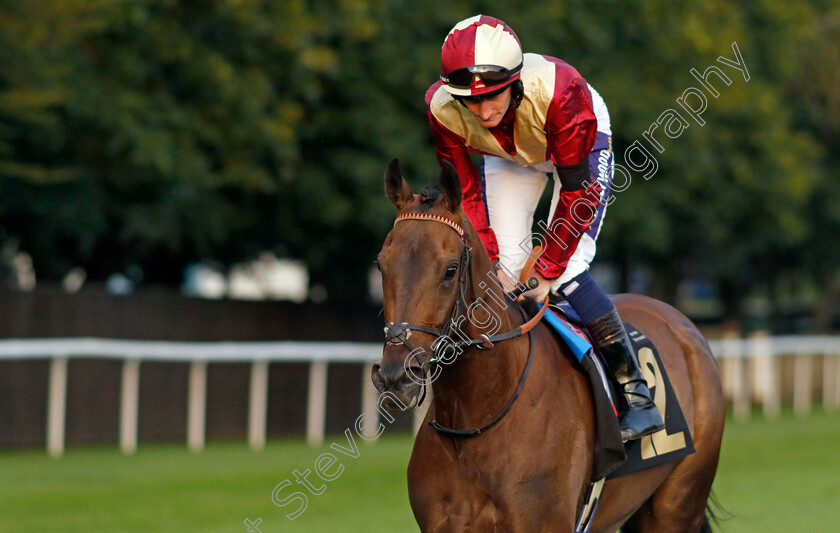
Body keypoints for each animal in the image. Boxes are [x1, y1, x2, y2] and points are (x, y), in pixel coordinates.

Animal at [370, 159, 724, 532]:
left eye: (450, 270)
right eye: (382, 264)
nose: (395, 375)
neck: (474, 423)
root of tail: (682, 324)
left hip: (677, 505)